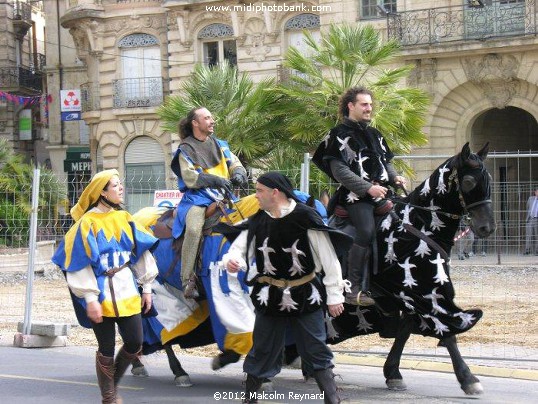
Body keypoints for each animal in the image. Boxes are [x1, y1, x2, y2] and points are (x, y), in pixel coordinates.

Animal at [322, 142, 494, 394]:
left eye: (488, 178)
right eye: (470, 181)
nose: (487, 228)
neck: (418, 224)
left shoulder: (409, 295)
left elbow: (406, 329)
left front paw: (393, 373)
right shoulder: (424, 293)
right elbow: (447, 330)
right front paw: (468, 378)